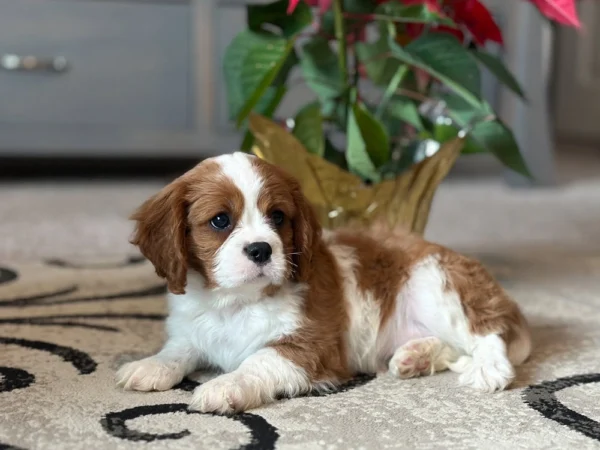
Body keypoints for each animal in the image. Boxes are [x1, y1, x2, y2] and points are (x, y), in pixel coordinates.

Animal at [116, 152, 528, 414]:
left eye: (277, 217)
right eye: (220, 221)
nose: (261, 249)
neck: (235, 302)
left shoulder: (311, 346)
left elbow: (256, 360)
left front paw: (224, 385)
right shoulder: (193, 327)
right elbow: (180, 348)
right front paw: (152, 365)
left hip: (436, 285)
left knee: (486, 333)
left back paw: (489, 369)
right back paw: (415, 356)